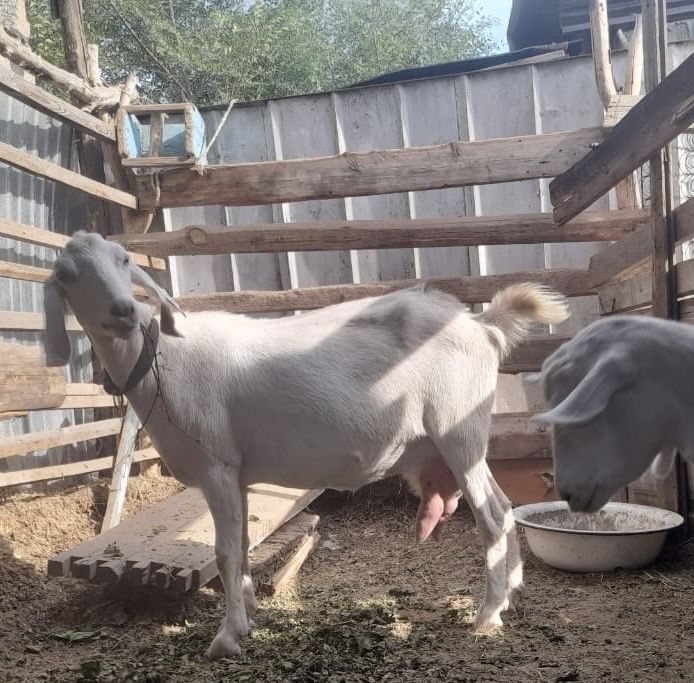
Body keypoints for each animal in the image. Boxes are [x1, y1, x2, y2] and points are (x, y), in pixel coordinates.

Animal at [44, 231, 569, 659]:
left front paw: (226, 638)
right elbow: (242, 543)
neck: (161, 360)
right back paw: (512, 590)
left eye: (123, 258)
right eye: (66, 275)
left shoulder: (216, 467)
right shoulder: (237, 475)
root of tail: (482, 325)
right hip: (462, 440)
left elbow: (224, 552)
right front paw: (248, 613)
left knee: (493, 515)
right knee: (503, 506)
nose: (123, 311)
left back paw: (488, 614)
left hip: (458, 428)